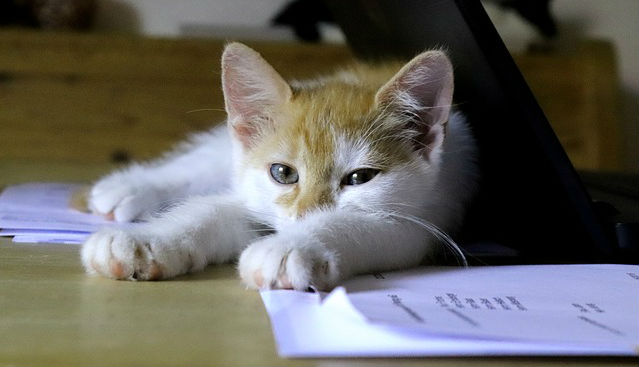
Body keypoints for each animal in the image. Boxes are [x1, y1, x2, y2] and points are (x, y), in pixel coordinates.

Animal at [80, 41, 478, 292]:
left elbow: (357, 224)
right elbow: (211, 210)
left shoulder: (423, 220)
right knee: (207, 160)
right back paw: (130, 187)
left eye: (360, 177)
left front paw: (291, 246)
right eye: (283, 173)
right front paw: (147, 239)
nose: (303, 217)